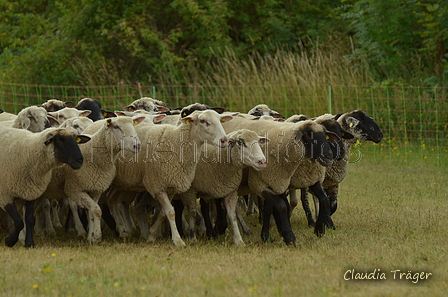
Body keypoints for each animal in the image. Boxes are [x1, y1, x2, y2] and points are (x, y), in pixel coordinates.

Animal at [112, 108, 233, 245]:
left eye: (220, 120)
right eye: (202, 121)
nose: (224, 140)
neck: (176, 142)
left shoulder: (171, 186)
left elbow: (163, 213)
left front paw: (152, 235)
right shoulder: (157, 185)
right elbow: (170, 212)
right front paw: (178, 240)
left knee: (113, 201)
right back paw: (122, 230)